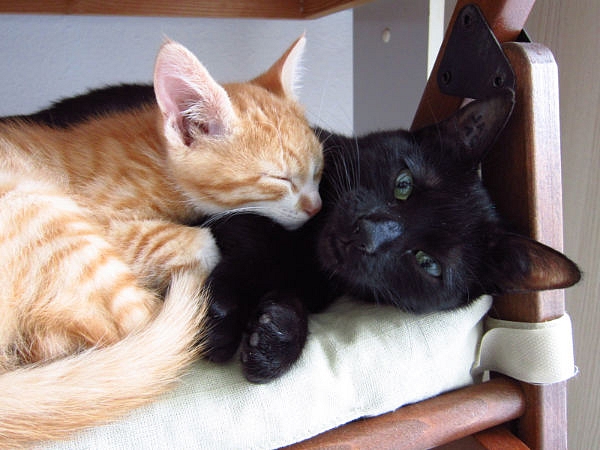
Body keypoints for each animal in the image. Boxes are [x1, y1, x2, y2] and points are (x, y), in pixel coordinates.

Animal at [0, 35, 323, 446]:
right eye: (280, 180)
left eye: (317, 172)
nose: (316, 208)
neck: (156, 160)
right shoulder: (104, 218)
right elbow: (202, 242)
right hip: (40, 206)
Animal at [201, 89, 582, 383]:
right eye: (404, 185)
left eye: (429, 263)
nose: (366, 233)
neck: (308, 251)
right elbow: (249, 243)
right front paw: (221, 317)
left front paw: (277, 336)